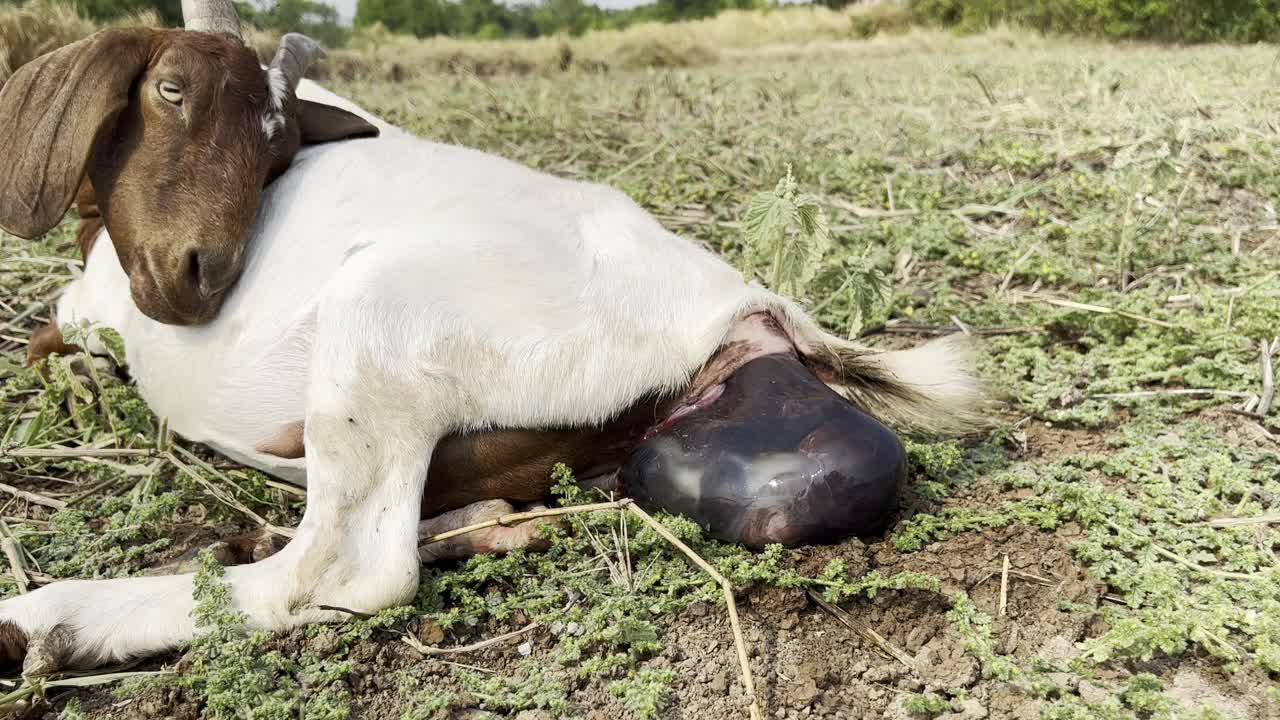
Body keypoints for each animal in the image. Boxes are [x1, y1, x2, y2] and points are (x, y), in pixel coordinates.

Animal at [0, 0, 983, 676]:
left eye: (273, 148)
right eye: (170, 91)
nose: (194, 280)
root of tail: (745, 311)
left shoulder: (96, 296)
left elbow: (49, 332)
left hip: (381, 317)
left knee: (346, 572)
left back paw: (48, 619)